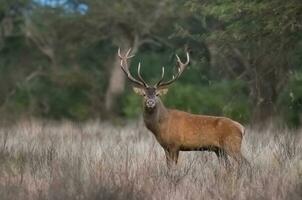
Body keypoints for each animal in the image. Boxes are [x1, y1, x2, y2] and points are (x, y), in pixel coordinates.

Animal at [118, 48, 250, 169]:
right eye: (144, 94)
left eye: (157, 95)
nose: (150, 102)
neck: (161, 126)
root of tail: (241, 127)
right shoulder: (166, 147)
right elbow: (168, 167)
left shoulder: (175, 144)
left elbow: (173, 167)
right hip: (220, 150)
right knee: (229, 166)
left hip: (232, 144)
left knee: (246, 164)